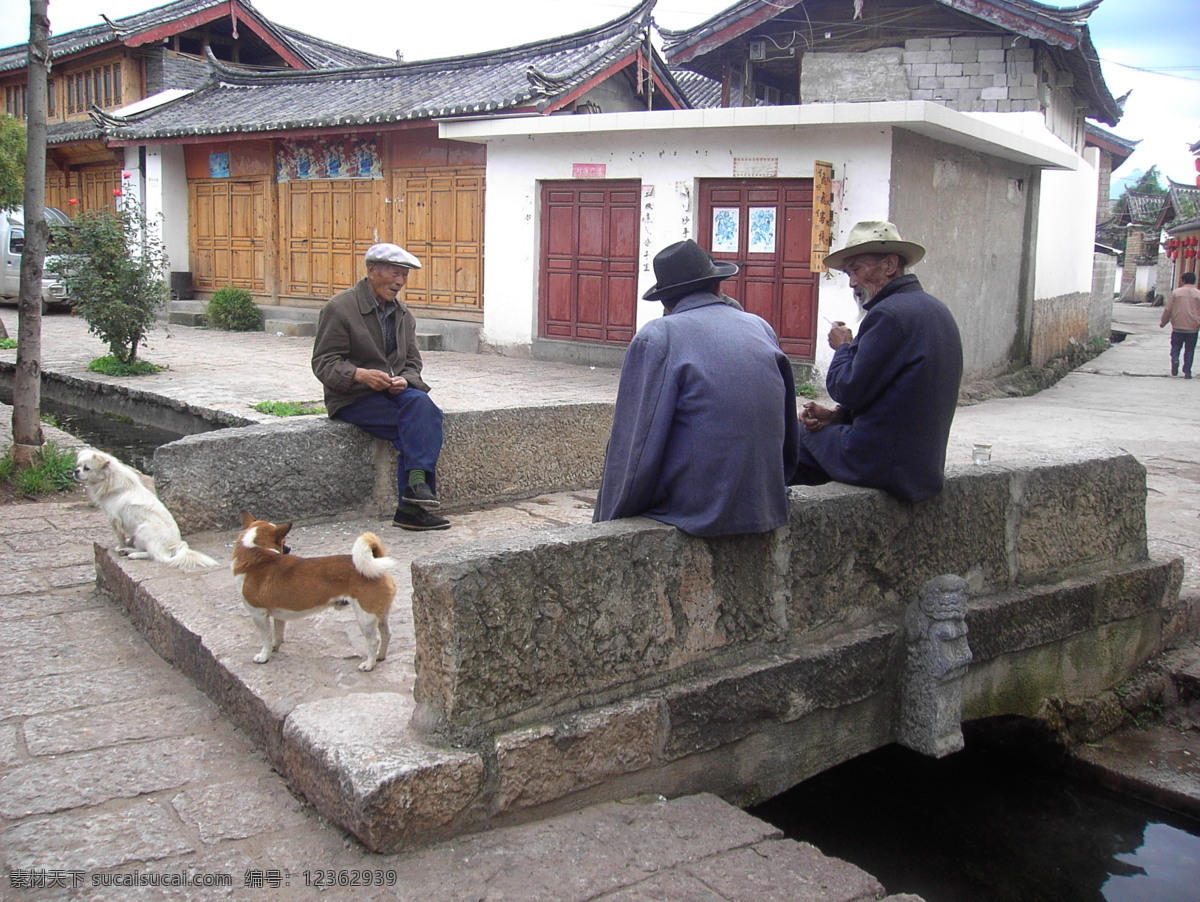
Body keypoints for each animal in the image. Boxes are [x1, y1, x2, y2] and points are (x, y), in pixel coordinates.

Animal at [225, 513, 393, 671]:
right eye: (284, 542)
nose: (289, 548)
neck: (258, 556)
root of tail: (377, 563)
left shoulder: (258, 614)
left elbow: (265, 639)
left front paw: (264, 656)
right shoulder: (278, 615)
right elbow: (277, 635)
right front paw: (274, 648)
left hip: (365, 617)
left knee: (374, 641)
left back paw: (369, 664)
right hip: (380, 615)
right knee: (386, 634)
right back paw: (380, 656)